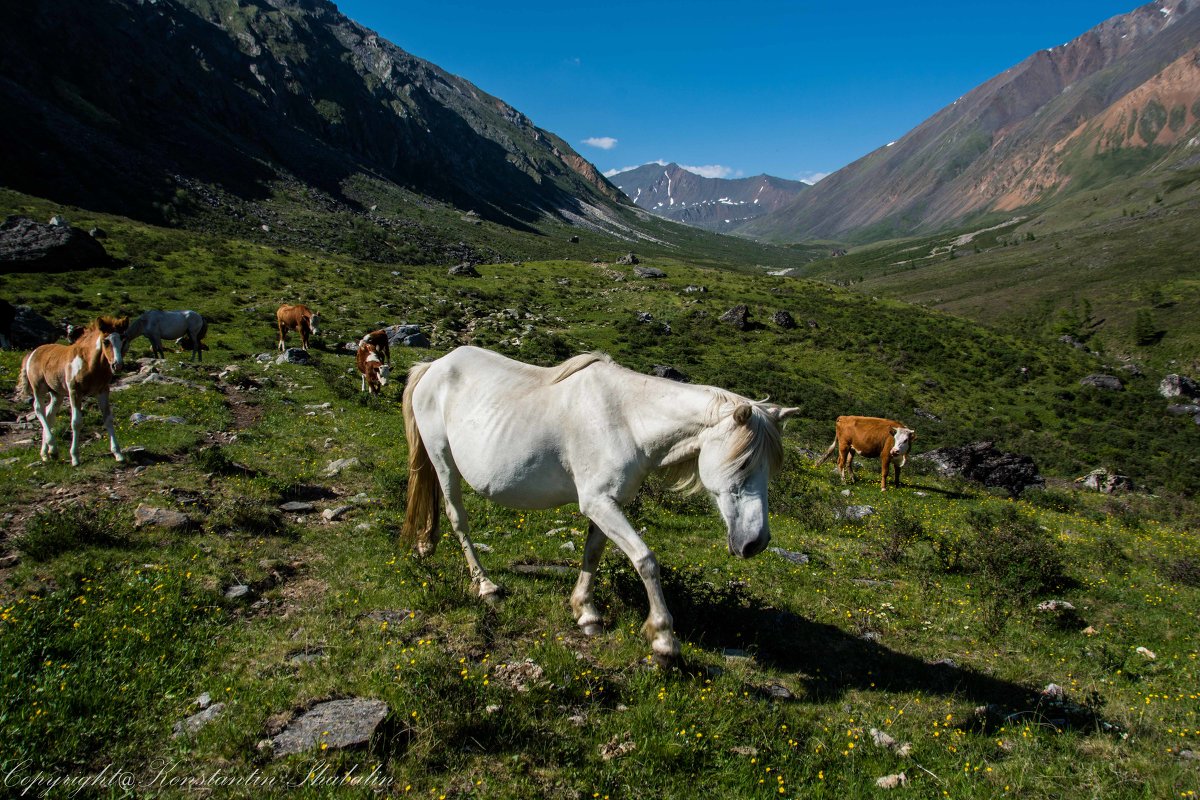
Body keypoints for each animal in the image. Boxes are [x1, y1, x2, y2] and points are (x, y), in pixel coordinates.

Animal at [16, 316, 130, 465]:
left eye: (123, 339)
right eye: (106, 341)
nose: (117, 365)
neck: (89, 364)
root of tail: (32, 353)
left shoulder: (103, 391)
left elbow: (108, 419)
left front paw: (118, 453)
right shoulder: (75, 391)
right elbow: (76, 422)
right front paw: (75, 457)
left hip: (56, 393)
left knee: (49, 414)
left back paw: (47, 453)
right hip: (38, 388)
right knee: (39, 409)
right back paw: (53, 448)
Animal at [400, 347, 796, 666]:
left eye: (771, 468)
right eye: (742, 464)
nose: (756, 542)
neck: (627, 420)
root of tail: (433, 365)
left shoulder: (607, 504)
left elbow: (592, 553)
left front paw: (586, 612)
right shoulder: (598, 502)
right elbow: (645, 560)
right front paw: (663, 640)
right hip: (443, 460)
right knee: (458, 519)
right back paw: (486, 586)